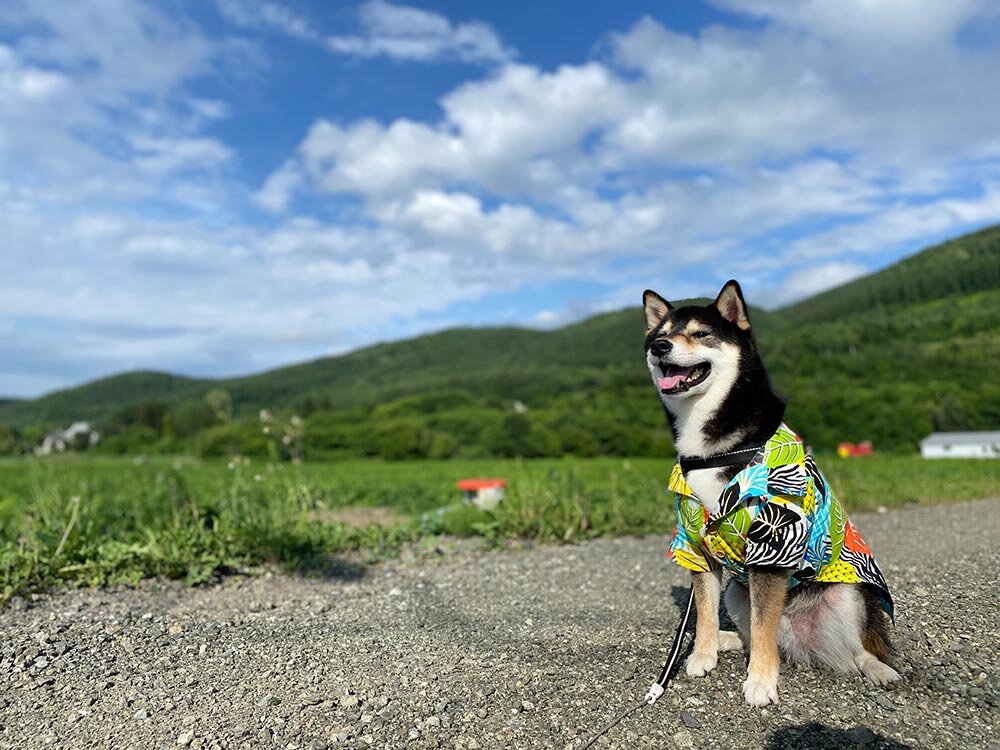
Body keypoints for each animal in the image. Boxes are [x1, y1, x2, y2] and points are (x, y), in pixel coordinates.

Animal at [644, 282, 904, 712]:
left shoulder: (773, 545)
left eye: (700, 333)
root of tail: (795, 636)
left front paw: (761, 683)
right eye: (657, 334)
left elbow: (762, 630)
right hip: (738, 591)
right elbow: (705, 613)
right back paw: (728, 642)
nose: (660, 346)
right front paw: (702, 653)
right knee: (755, 633)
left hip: (847, 595)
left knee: (850, 650)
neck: (714, 450)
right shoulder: (695, 545)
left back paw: (879, 669)